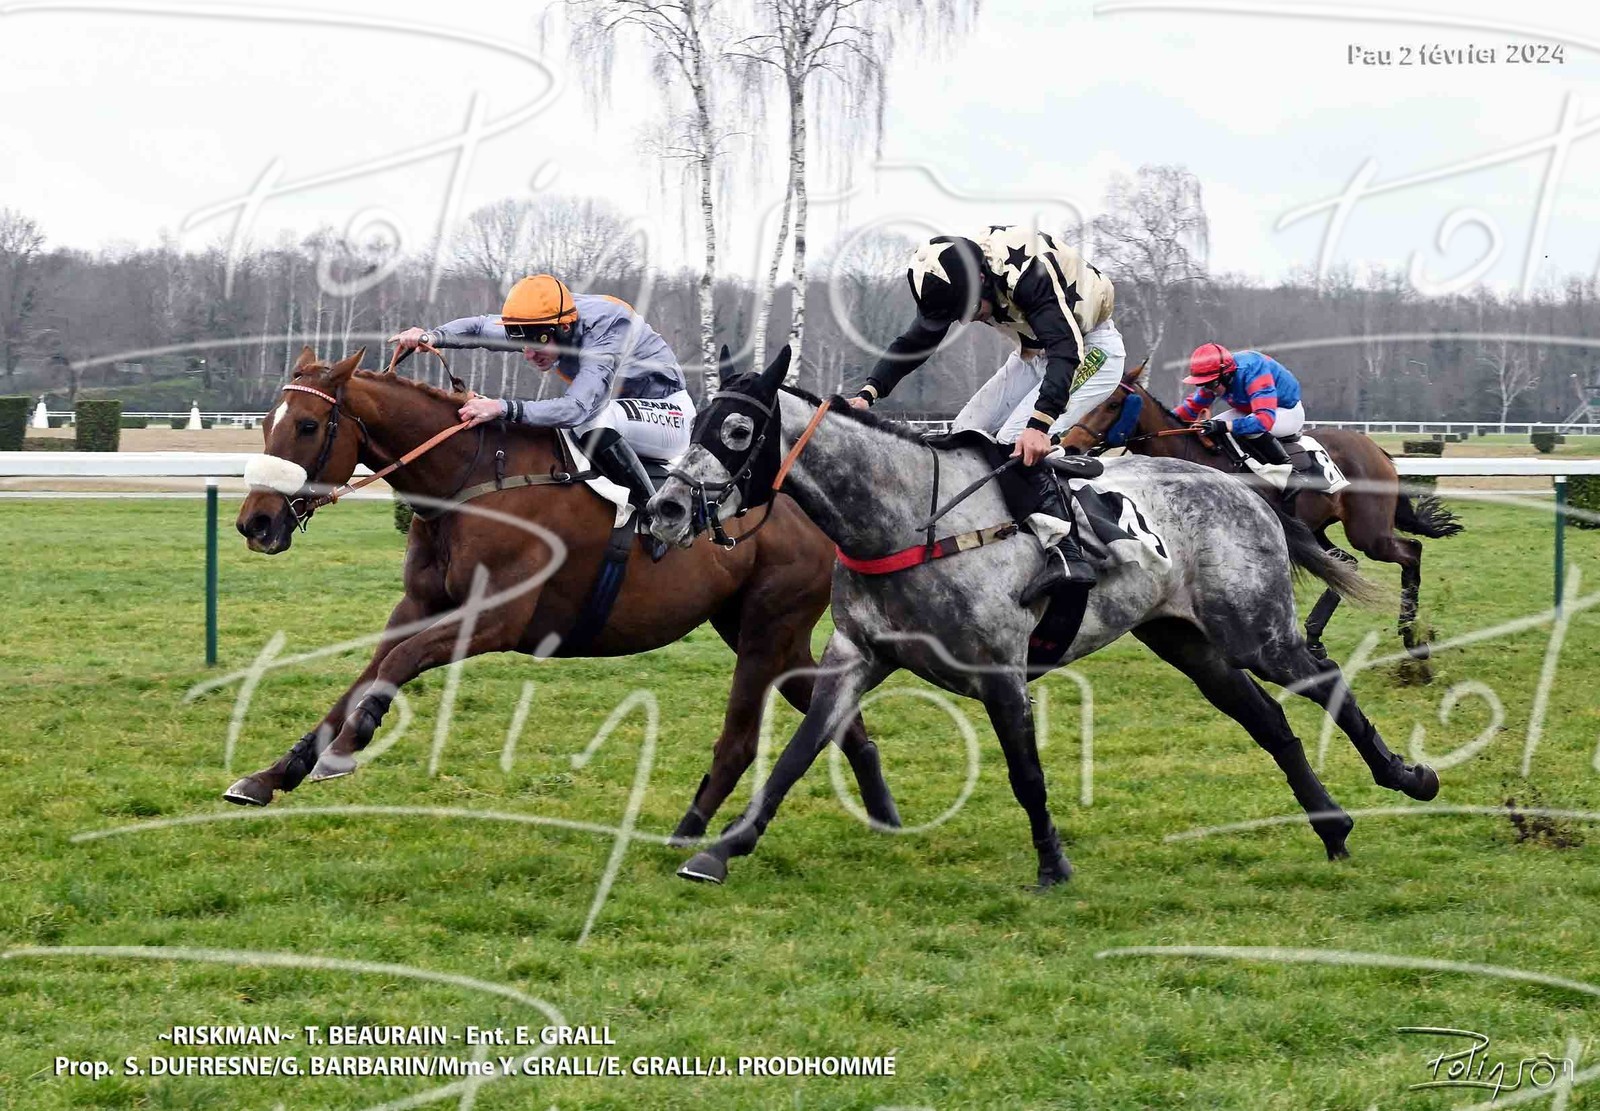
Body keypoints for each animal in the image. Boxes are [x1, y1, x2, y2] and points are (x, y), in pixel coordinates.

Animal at [226, 345, 902, 841]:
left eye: (308, 425)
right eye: (266, 426)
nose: (255, 522)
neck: (471, 481)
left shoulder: (497, 619)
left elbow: (396, 664)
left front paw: (349, 744)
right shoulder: (417, 606)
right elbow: (364, 674)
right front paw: (272, 775)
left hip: (767, 629)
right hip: (754, 630)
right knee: (838, 715)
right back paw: (883, 813)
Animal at [1058, 360, 1463, 667]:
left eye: (1112, 404)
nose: (1070, 445)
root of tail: (1377, 449)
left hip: (1368, 530)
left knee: (1410, 552)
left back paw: (1412, 637)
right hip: (1319, 528)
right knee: (1345, 562)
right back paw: (1317, 637)